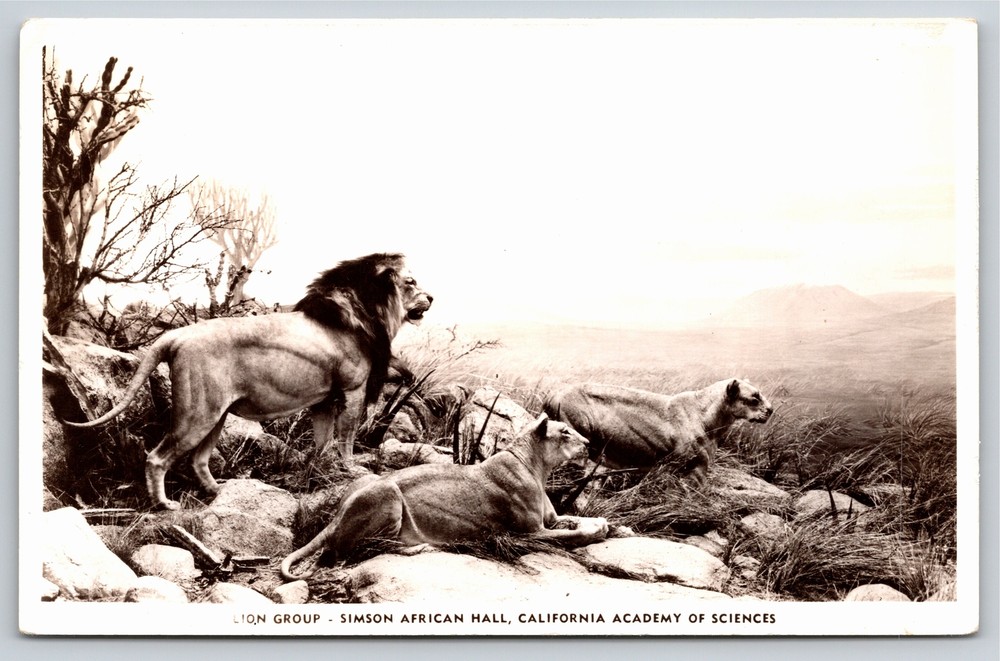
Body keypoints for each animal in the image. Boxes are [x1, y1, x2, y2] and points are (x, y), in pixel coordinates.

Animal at [65, 253, 432, 510]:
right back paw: (165, 505)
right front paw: (352, 471)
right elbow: (346, 439)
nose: (432, 298)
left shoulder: (325, 401)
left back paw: (220, 490)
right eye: (411, 282)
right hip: (198, 414)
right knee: (157, 458)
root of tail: (176, 336)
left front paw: (319, 472)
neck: (364, 311)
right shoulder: (353, 391)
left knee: (198, 460)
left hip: (216, 416)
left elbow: (322, 442)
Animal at [280, 413, 610, 581]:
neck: (539, 468)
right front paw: (596, 531)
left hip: (368, 480)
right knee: (363, 549)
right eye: (565, 432)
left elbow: (574, 519)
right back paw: (420, 547)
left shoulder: (550, 520)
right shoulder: (528, 533)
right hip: (386, 494)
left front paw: (604, 523)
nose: (589, 443)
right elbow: (571, 535)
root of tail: (335, 517)